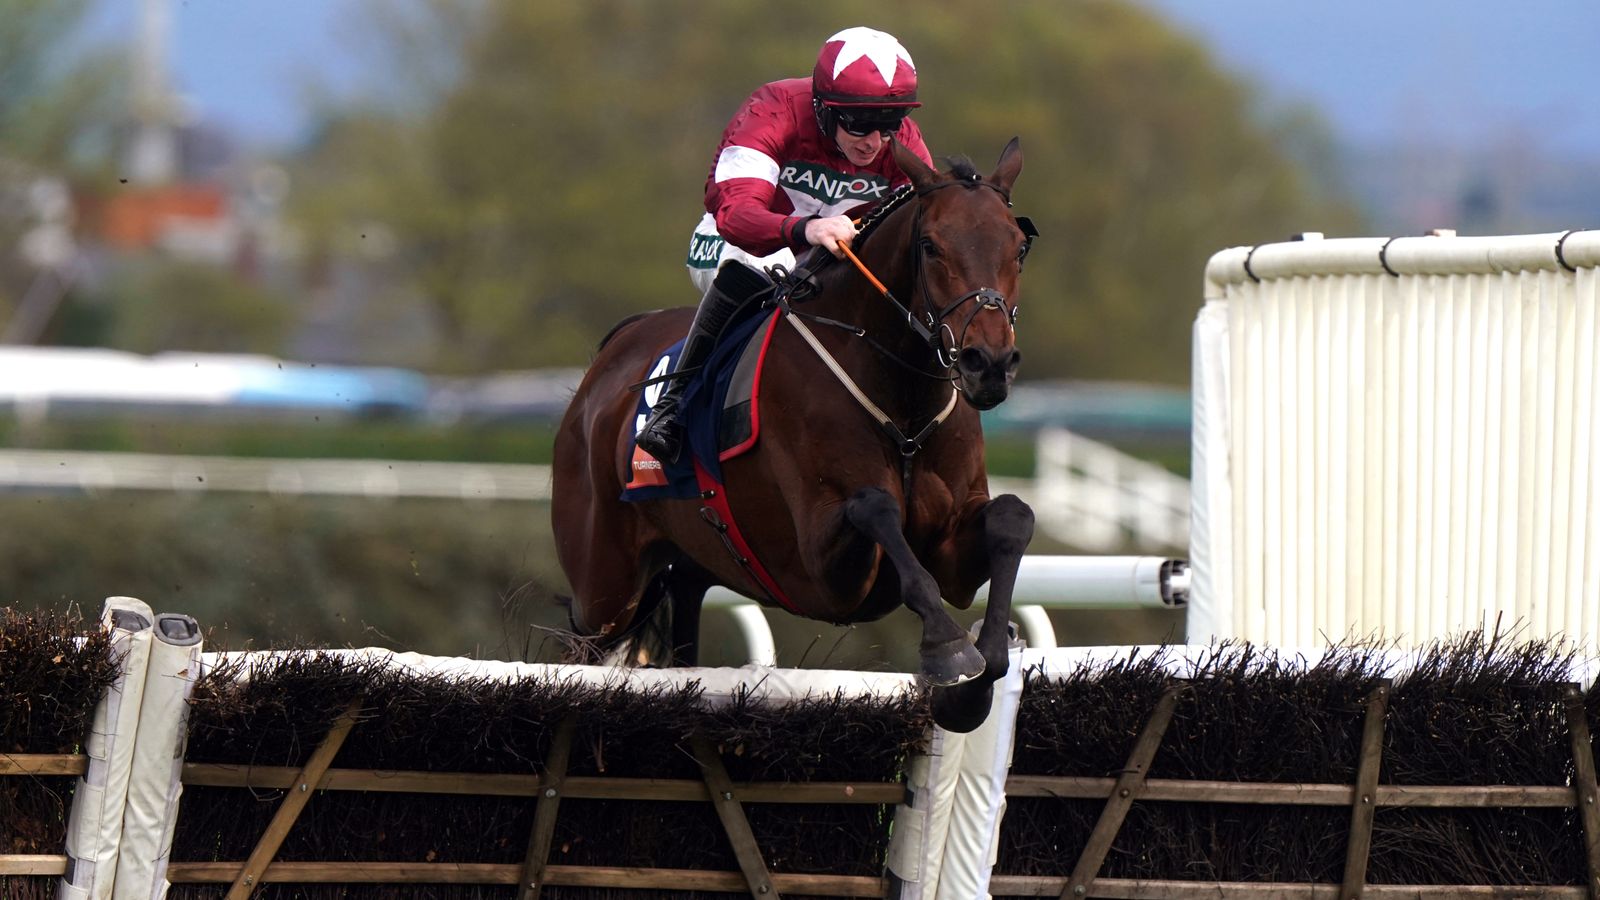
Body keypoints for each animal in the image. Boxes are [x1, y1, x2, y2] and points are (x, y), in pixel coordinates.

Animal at [550, 138, 1036, 730]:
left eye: (1018, 247)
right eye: (930, 246)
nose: (989, 364)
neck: (903, 402)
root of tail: (611, 356)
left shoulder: (949, 548)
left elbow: (1012, 516)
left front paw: (981, 669)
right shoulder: (823, 570)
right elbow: (876, 507)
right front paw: (948, 648)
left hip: (683, 568)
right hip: (604, 587)